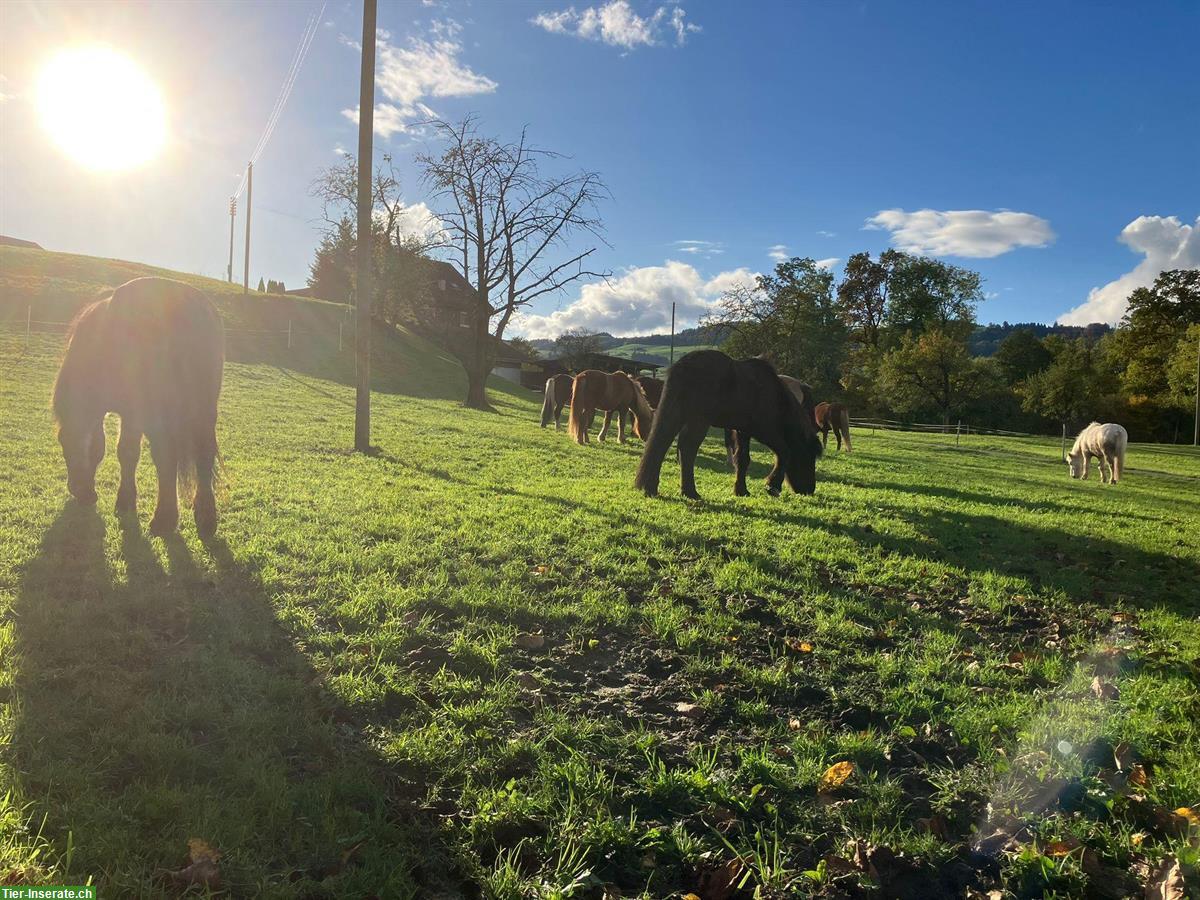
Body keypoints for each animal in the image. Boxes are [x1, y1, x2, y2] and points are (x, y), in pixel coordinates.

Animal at [52, 278, 225, 535]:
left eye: (64, 443)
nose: (80, 491)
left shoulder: (132, 413)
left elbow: (126, 451)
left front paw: (125, 501)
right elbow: (112, 449)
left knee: (167, 456)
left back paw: (165, 518)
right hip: (201, 409)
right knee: (202, 453)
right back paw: (203, 517)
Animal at [633, 348, 820, 501]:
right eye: (809, 457)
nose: (809, 490)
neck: (775, 395)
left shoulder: (743, 430)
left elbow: (743, 458)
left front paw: (741, 490)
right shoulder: (763, 430)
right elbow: (784, 451)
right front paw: (772, 485)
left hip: (678, 414)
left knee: (663, 444)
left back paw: (655, 488)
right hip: (699, 420)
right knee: (686, 449)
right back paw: (689, 492)